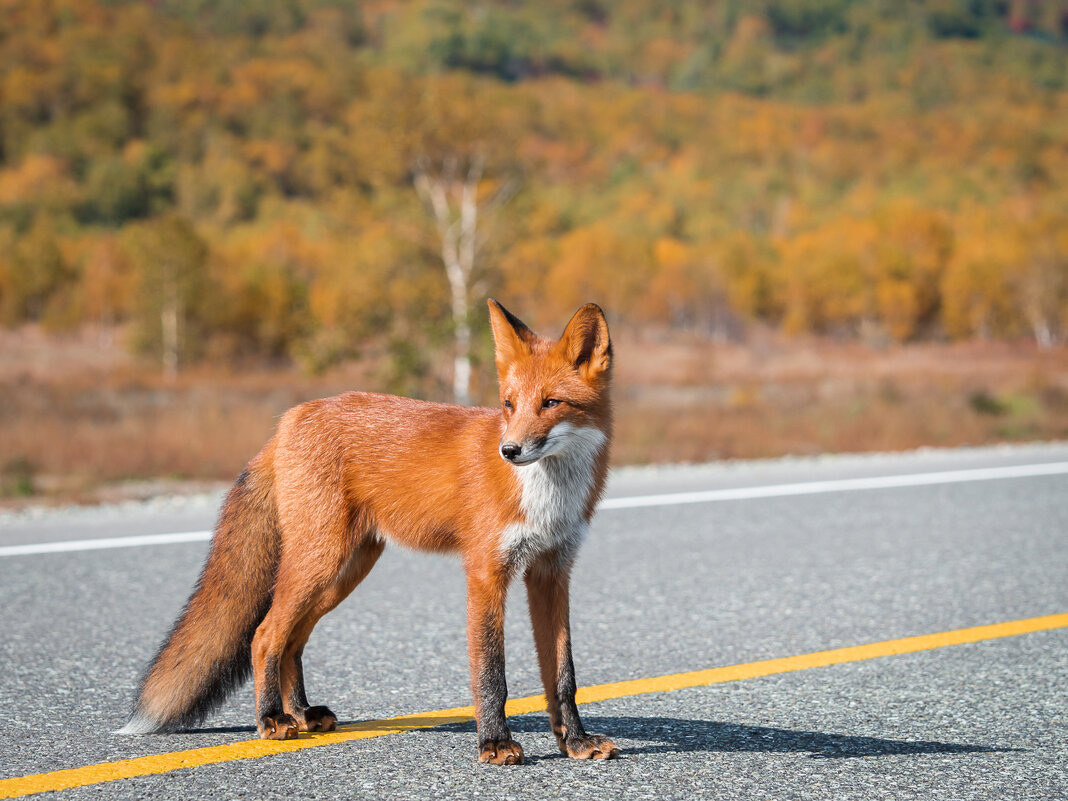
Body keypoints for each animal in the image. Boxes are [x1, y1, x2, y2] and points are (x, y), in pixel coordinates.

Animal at [118, 299, 623, 764]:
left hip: (344, 572)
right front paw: (494, 743)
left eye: (551, 403)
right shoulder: (485, 571)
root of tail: (289, 419)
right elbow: (491, 672)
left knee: (293, 642)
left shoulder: (552, 572)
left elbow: (563, 674)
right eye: (509, 404)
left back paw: (302, 712)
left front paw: (575, 742)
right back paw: (271, 718)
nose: (509, 450)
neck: (546, 495)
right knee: (264, 636)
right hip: (320, 564)